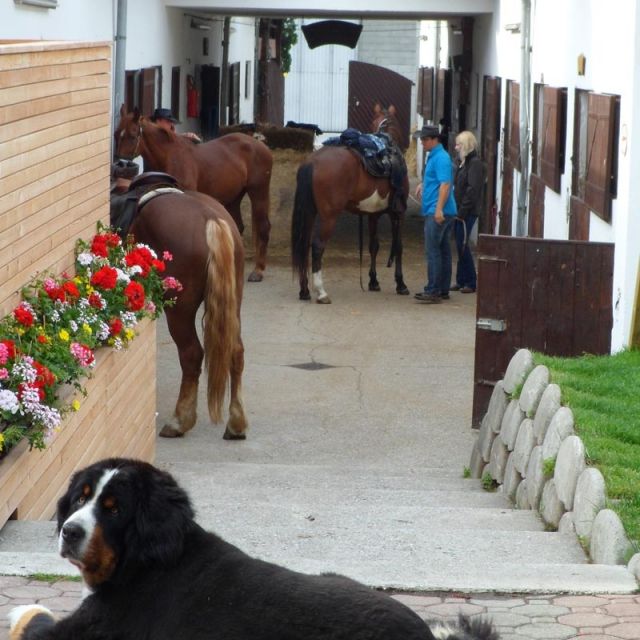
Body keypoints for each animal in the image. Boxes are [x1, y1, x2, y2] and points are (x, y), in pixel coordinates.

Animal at [10, 458, 500, 636]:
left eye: (113, 510)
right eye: (80, 498)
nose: (69, 531)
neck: (145, 562)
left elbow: (35, 617)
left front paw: (21, 610)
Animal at [111, 176, 246, 444]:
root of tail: (210, 218)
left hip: (179, 308)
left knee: (191, 354)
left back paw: (179, 420)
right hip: (234, 301)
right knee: (236, 351)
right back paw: (236, 424)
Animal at [114, 106, 272, 282]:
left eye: (132, 135)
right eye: (116, 133)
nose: (121, 165)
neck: (171, 155)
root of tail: (259, 144)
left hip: (258, 192)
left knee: (263, 227)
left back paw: (258, 270)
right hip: (234, 199)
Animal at [292, 104, 410, 304]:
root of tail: (312, 162)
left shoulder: (373, 215)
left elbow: (373, 246)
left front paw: (373, 281)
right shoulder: (398, 213)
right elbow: (399, 247)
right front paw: (401, 284)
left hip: (309, 213)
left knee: (304, 245)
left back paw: (304, 290)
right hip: (328, 217)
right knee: (317, 246)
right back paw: (321, 292)